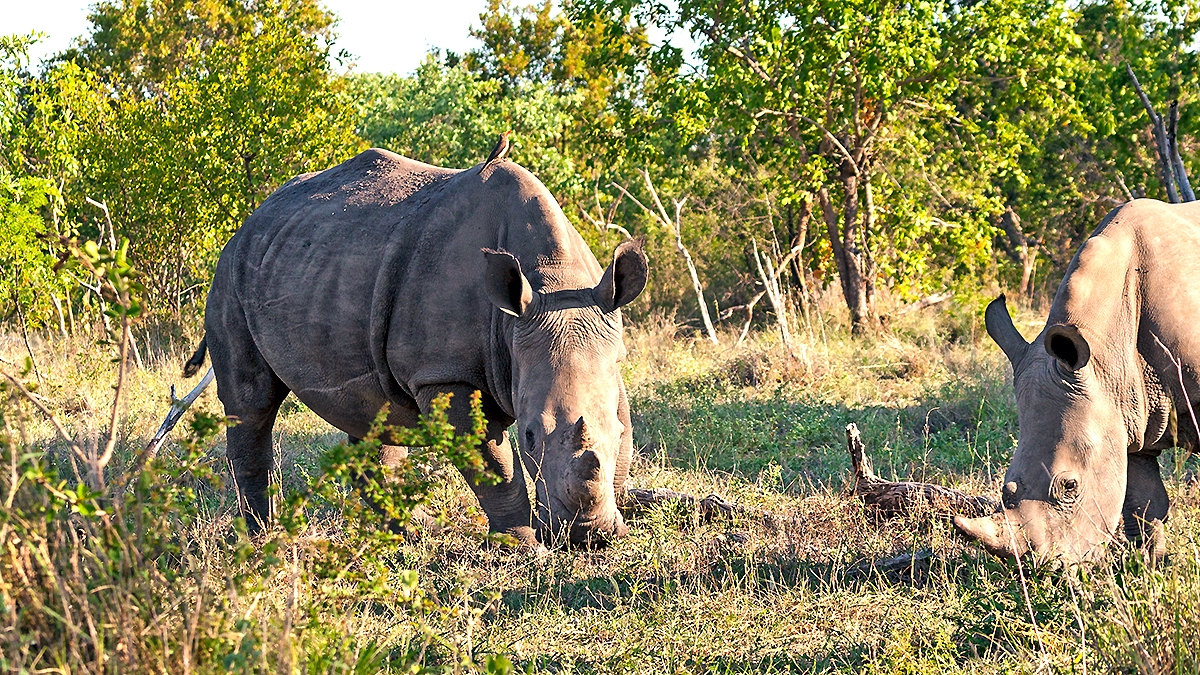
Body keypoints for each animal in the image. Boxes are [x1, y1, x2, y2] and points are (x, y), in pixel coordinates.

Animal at [185, 147, 647, 549]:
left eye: (617, 430)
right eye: (530, 437)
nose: (586, 536)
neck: (554, 283)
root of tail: (249, 222)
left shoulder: (610, 353)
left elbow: (620, 439)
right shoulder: (445, 374)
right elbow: (493, 463)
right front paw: (524, 547)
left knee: (372, 410)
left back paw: (410, 532)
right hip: (229, 275)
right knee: (252, 402)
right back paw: (264, 541)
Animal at [954, 199, 1200, 562]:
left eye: (1070, 486)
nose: (1044, 568)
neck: (1105, 357)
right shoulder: (1129, 416)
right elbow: (1144, 504)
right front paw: (1148, 566)